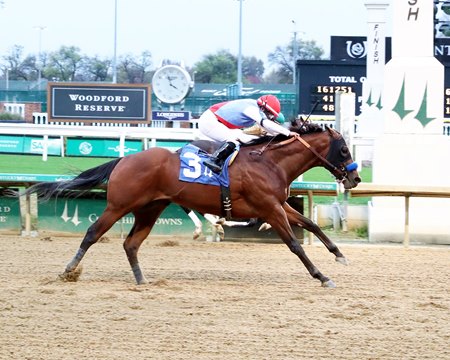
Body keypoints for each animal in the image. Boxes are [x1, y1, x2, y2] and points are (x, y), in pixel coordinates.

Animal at [19, 122, 360, 288]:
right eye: (343, 149)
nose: (355, 179)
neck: (270, 162)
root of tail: (124, 160)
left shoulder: (277, 205)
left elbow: (311, 224)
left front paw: (340, 256)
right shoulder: (269, 209)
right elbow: (294, 244)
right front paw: (322, 276)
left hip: (150, 209)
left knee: (131, 243)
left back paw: (142, 280)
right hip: (118, 205)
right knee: (92, 233)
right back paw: (69, 271)